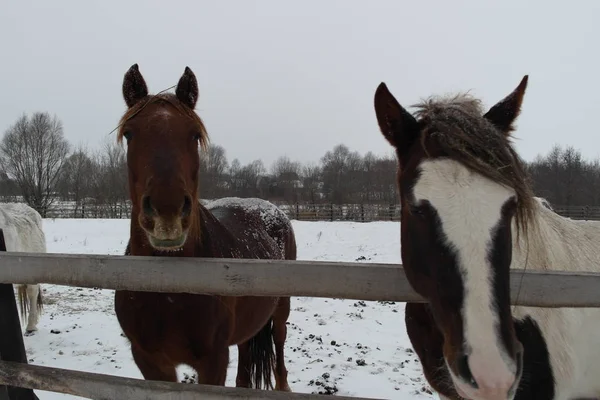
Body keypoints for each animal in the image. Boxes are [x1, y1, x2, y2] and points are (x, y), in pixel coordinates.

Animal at [112, 63, 296, 390]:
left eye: (195, 135)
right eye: (130, 134)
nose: (167, 211)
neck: (168, 288)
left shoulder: (213, 360)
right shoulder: (149, 361)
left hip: (280, 309)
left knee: (279, 343)